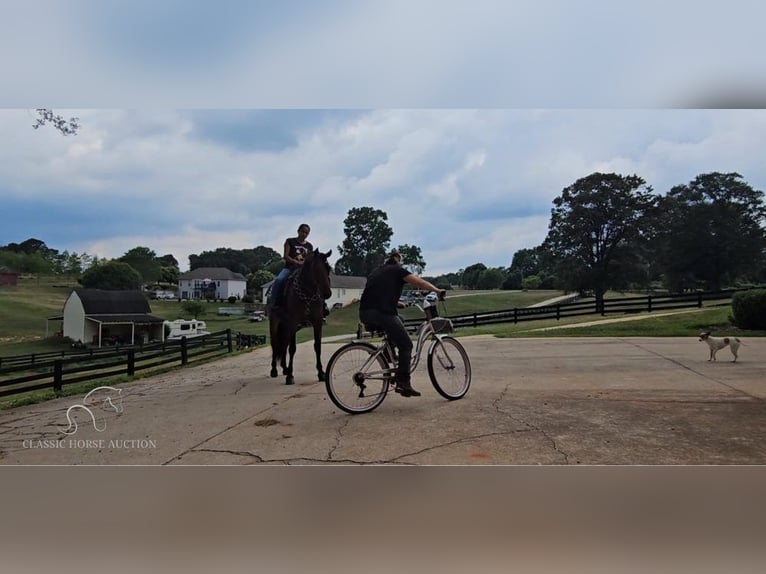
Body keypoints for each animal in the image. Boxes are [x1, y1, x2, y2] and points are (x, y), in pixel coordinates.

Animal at [268, 249, 332, 388]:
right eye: (317, 269)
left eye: (328, 268)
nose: (327, 294)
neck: (307, 293)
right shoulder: (293, 321)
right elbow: (292, 348)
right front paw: (290, 376)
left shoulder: (317, 322)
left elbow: (317, 346)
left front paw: (321, 373)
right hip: (275, 324)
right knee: (275, 344)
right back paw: (274, 370)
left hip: (287, 327)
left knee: (283, 344)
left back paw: (285, 368)